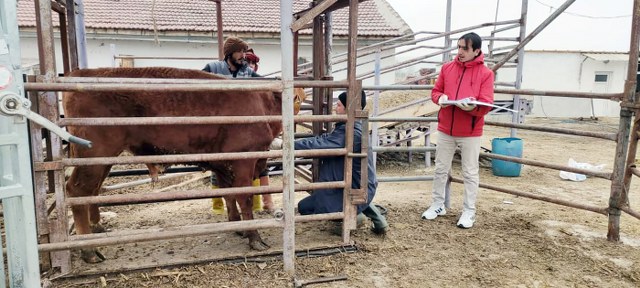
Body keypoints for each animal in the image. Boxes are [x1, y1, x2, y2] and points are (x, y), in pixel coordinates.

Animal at [62, 67, 288, 264]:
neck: (263, 104)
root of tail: (80, 73)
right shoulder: (243, 162)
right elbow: (244, 197)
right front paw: (255, 238)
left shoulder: (223, 166)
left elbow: (229, 195)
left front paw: (239, 227)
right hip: (95, 155)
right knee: (78, 190)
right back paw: (89, 250)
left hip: (101, 161)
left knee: (92, 190)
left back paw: (96, 229)